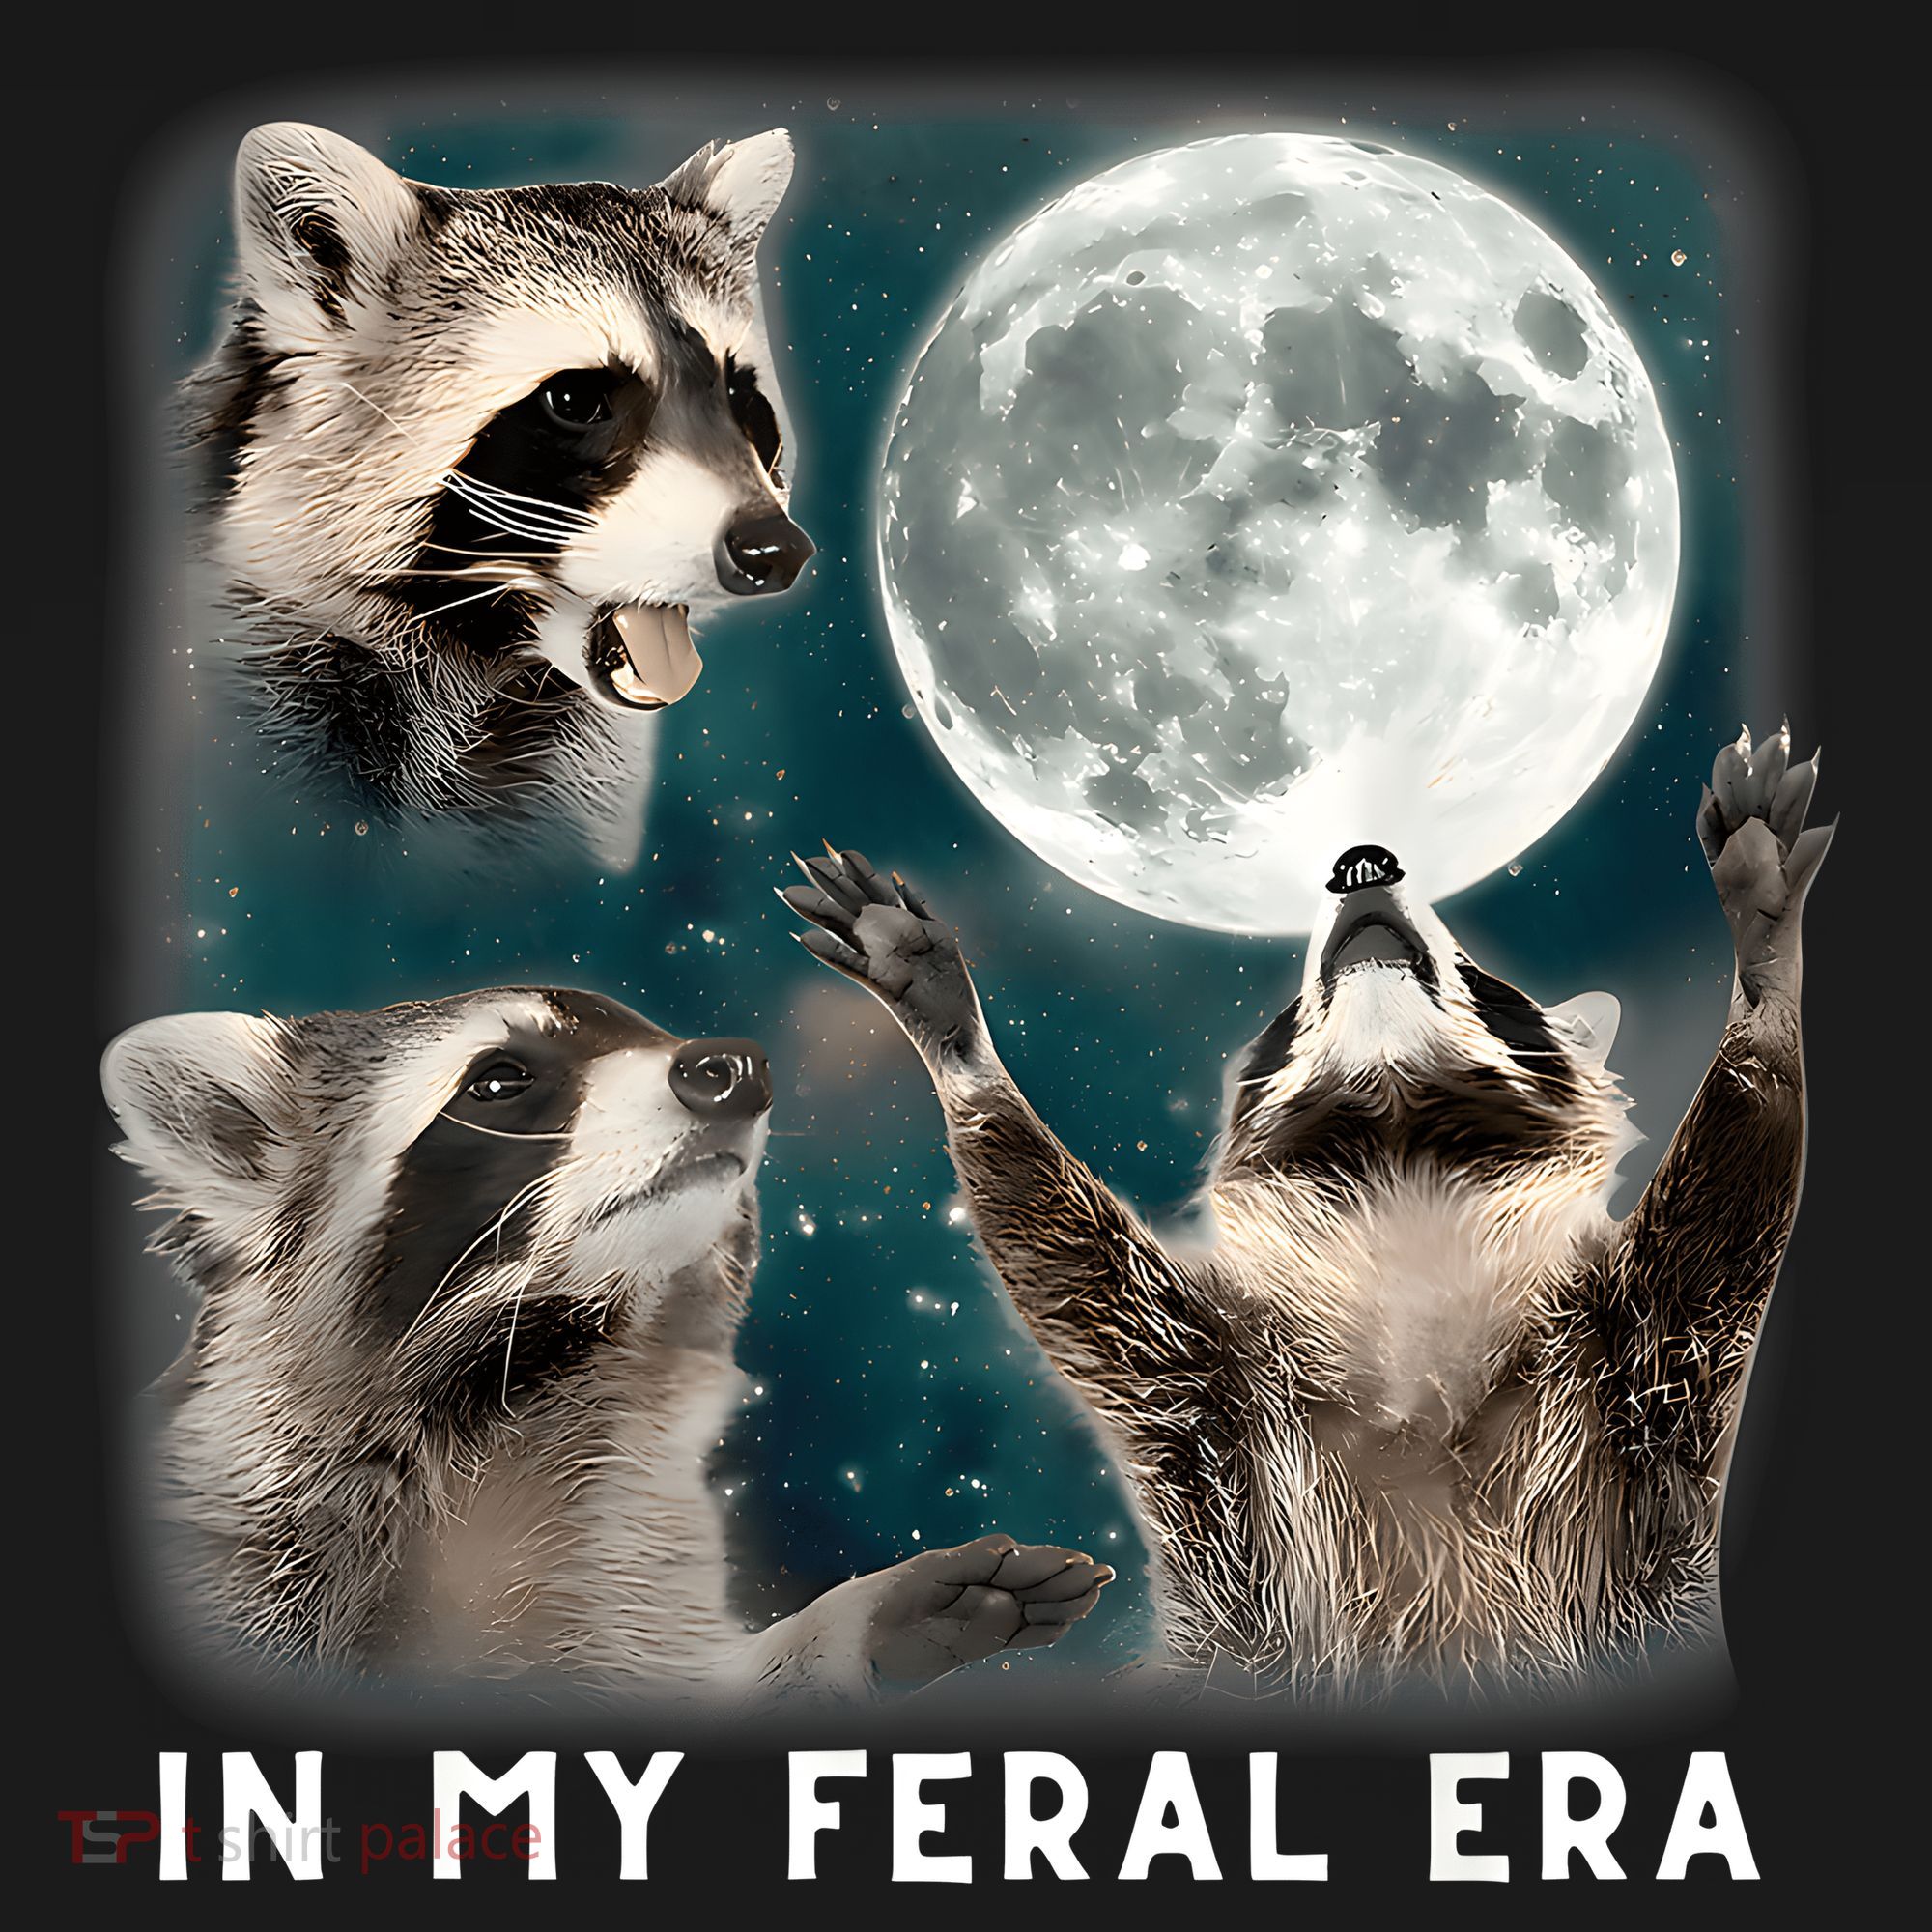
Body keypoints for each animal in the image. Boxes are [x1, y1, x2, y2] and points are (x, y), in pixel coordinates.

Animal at [101, 989, 1108, 1698]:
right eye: (499, 1077)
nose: (735, 1066)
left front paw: (853, 1624)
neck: (529, 1376)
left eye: (653, 1033)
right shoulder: (242, 1538)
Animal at [784, 726, 1831, 1698]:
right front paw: (955, 1039)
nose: (1360, 861)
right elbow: (1070, 1264)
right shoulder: (1210, 1398)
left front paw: (1763, 959)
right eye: (1292, 1004)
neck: (1402, 1177)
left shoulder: (1642, 1363)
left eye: (1473, 967)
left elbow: (1727, 1204)